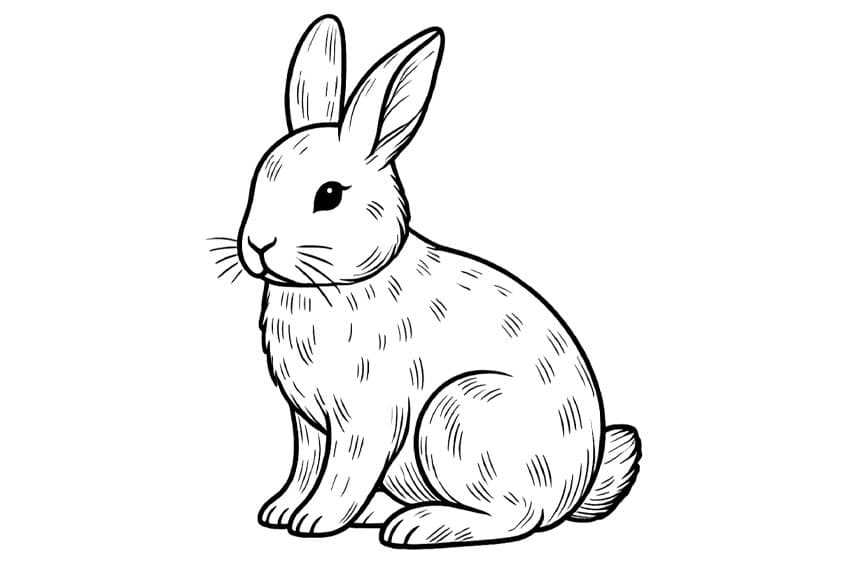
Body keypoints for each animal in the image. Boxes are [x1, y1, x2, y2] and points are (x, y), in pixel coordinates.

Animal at [232, 14, 641, 548]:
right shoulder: (309, 424)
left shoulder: (367, 418)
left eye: (329, 195)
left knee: (517, 517)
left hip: (459, 415)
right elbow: (305, 469)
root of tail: (577, 486)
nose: (258, 245)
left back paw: (418, 526)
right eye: (260, 176)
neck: (337, 285)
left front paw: (315, 521)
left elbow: (343, 474)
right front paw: (280, 511)